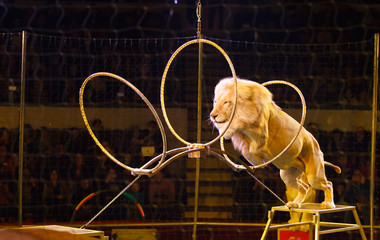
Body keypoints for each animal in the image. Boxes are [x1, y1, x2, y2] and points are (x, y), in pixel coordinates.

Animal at [209, 77, 340, 210]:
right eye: (215, 101)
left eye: (226, 102)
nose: (212, 115)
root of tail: (316, 145)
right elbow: (246, 150)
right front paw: (254, 162)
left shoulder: (261, 129)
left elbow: (240, 123)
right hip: (288, 175)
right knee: (304, 187)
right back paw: (295, 204)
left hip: (314, 176)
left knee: (328, 184)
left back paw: (329, 204)